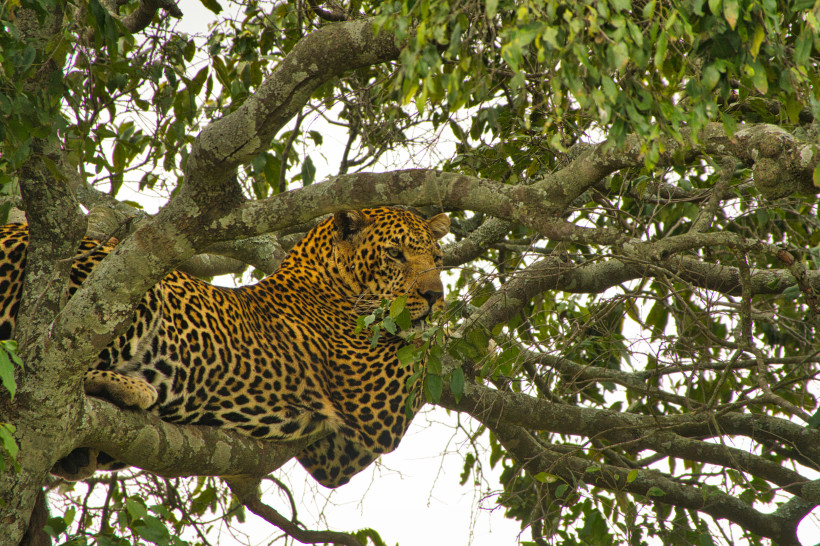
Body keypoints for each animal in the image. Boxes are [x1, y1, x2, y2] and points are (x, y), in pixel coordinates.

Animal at [0, 206, 450, 488]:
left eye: (438, 258)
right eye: (395, 254)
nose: (435, 295)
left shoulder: (335, 456)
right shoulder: (377, 405)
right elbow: (427, 345)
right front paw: (442, 321)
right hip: (120, 288)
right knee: (52, 371)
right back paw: (131, 389)